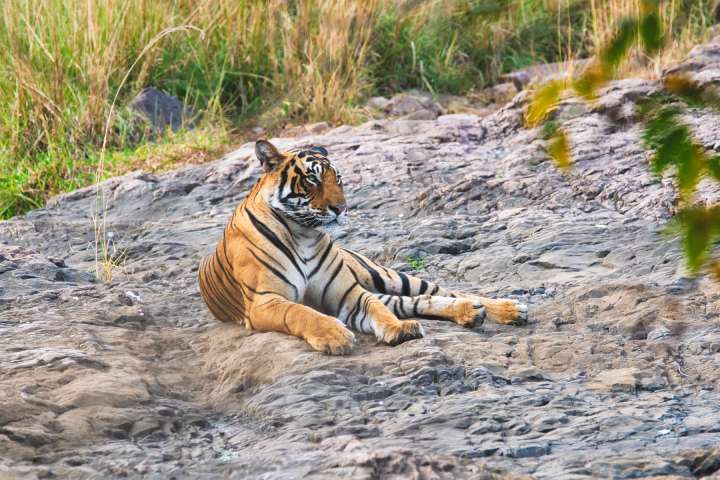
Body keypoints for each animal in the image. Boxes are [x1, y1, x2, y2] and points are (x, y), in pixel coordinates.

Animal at [198, 139, 528, 352]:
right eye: (312, 179)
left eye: (339, 180)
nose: (341, 209)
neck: (303, 233)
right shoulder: (264, 301)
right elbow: (301, 312)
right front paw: (334, 335)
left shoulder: (348, 292)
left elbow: (376, 309)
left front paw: (398, 329)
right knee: (415, 302)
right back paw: (471, 312)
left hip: (386, 275)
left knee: (438, 291)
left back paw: (507, 309)